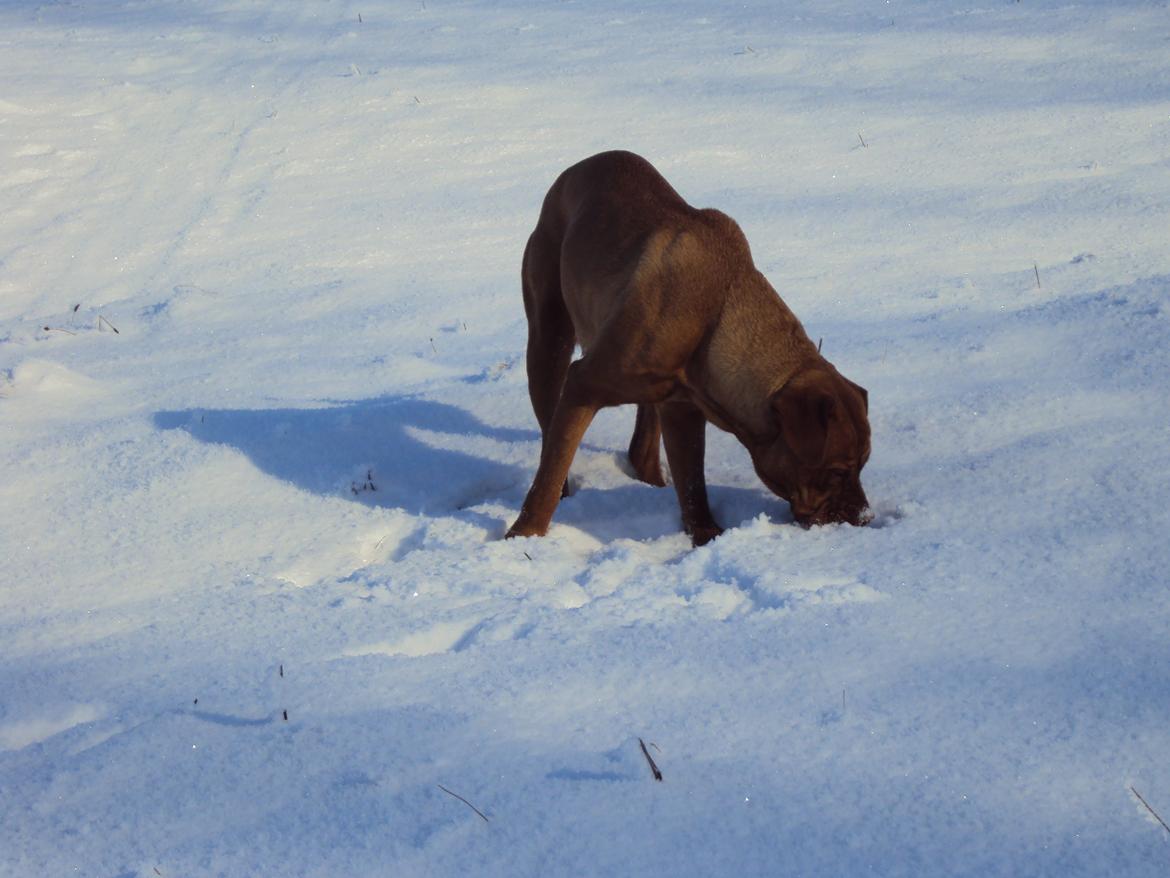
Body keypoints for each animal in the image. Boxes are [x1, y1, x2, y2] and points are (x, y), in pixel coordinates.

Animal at [505, 154, 870, 547]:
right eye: (837, 471)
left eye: (863, 464)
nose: (866, 517)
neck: (713, 317)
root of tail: (569, 173)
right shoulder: (584, 384)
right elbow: (551, 471)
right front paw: (524, 535)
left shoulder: (683, 407)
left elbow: (693, 482)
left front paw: (706, 534)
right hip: (549, 334)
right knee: (549, 425)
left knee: (641, 446)